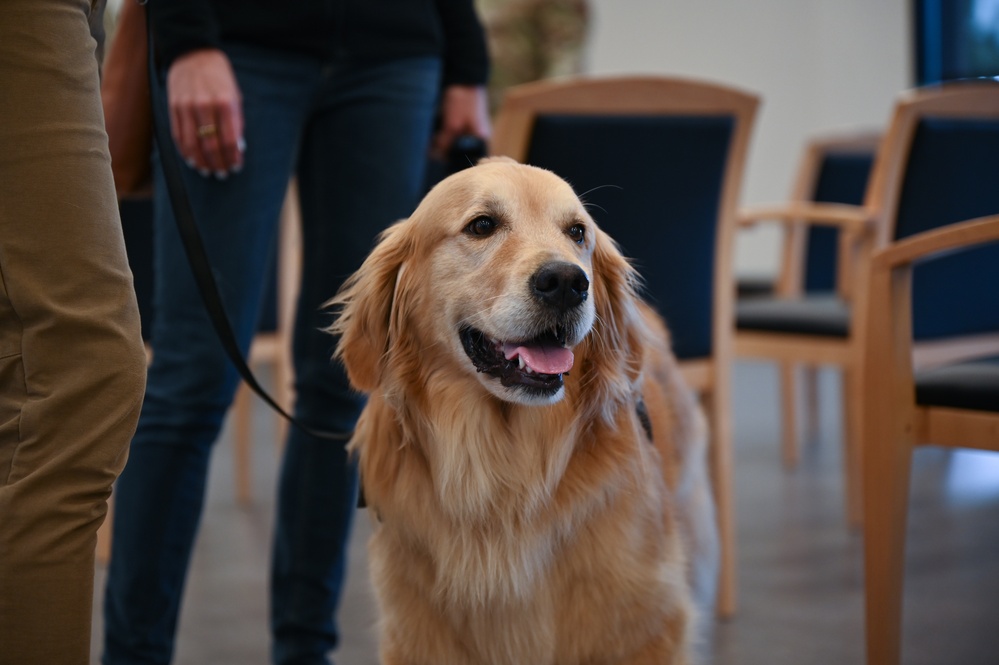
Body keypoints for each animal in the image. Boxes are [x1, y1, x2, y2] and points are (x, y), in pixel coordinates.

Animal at [332, 157, 716, 664]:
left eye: (577, 232)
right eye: (482, 225)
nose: (568, 283)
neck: (504, 477)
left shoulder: (647, 627)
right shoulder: (419, 634)